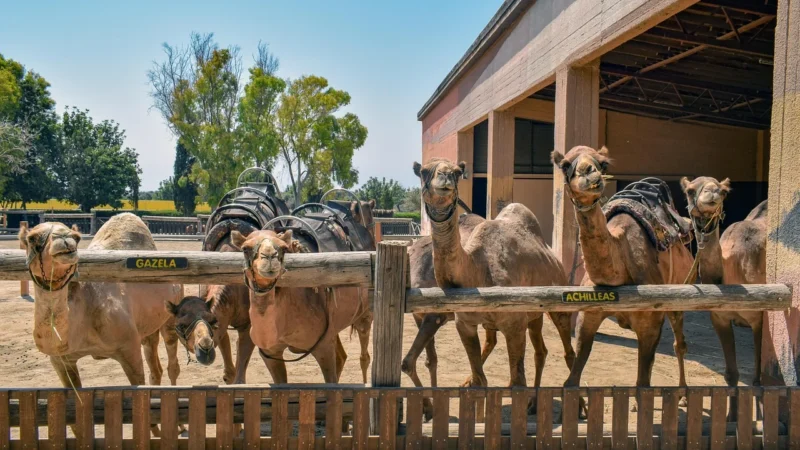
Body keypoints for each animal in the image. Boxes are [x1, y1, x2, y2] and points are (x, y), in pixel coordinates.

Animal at [19, 214, 182, 435]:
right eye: (32, 238)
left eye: (77, 237)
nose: (64, 238)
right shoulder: (60, 360)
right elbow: (73, 413)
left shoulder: (128, 347)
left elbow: (139, 395)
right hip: (148, 327)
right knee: (155, 366)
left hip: (171, 315)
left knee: (172, 361)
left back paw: (178, 425)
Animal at [231, 229, 372, 384]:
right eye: (245, 249)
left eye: (284, 248)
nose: (269, 256)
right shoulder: (270, 354)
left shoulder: (323, 347)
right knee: (341, 356)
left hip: (365, 314)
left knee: (364, 355)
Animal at [413, 158, 576, 414]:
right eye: (424, 171)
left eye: (457, 172)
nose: (445, 176)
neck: (478, 271)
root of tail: (555, 258)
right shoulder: (465, 324)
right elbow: (481, 379)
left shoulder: (514, 324)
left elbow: (517, 381)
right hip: (534, 314)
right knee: (541, 351)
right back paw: (533, 404)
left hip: (557, 301)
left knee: (568, 351)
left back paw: (579, 407)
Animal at [552, 146, 694, 411]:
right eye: (565, 164)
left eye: (603, 163)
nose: (589, 173)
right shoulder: (588, 317)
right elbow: (571, 380)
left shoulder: (650, 322)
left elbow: (643, 383)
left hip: (679, 292)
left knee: (679, 344)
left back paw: (682, 395)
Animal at [681, 177, 766, 420]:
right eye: (690, 190)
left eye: (724, 191)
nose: (712, 192)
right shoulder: (719, 318)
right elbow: (731, 373)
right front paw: (731, 417)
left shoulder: (759, 318)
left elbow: (757, 376)